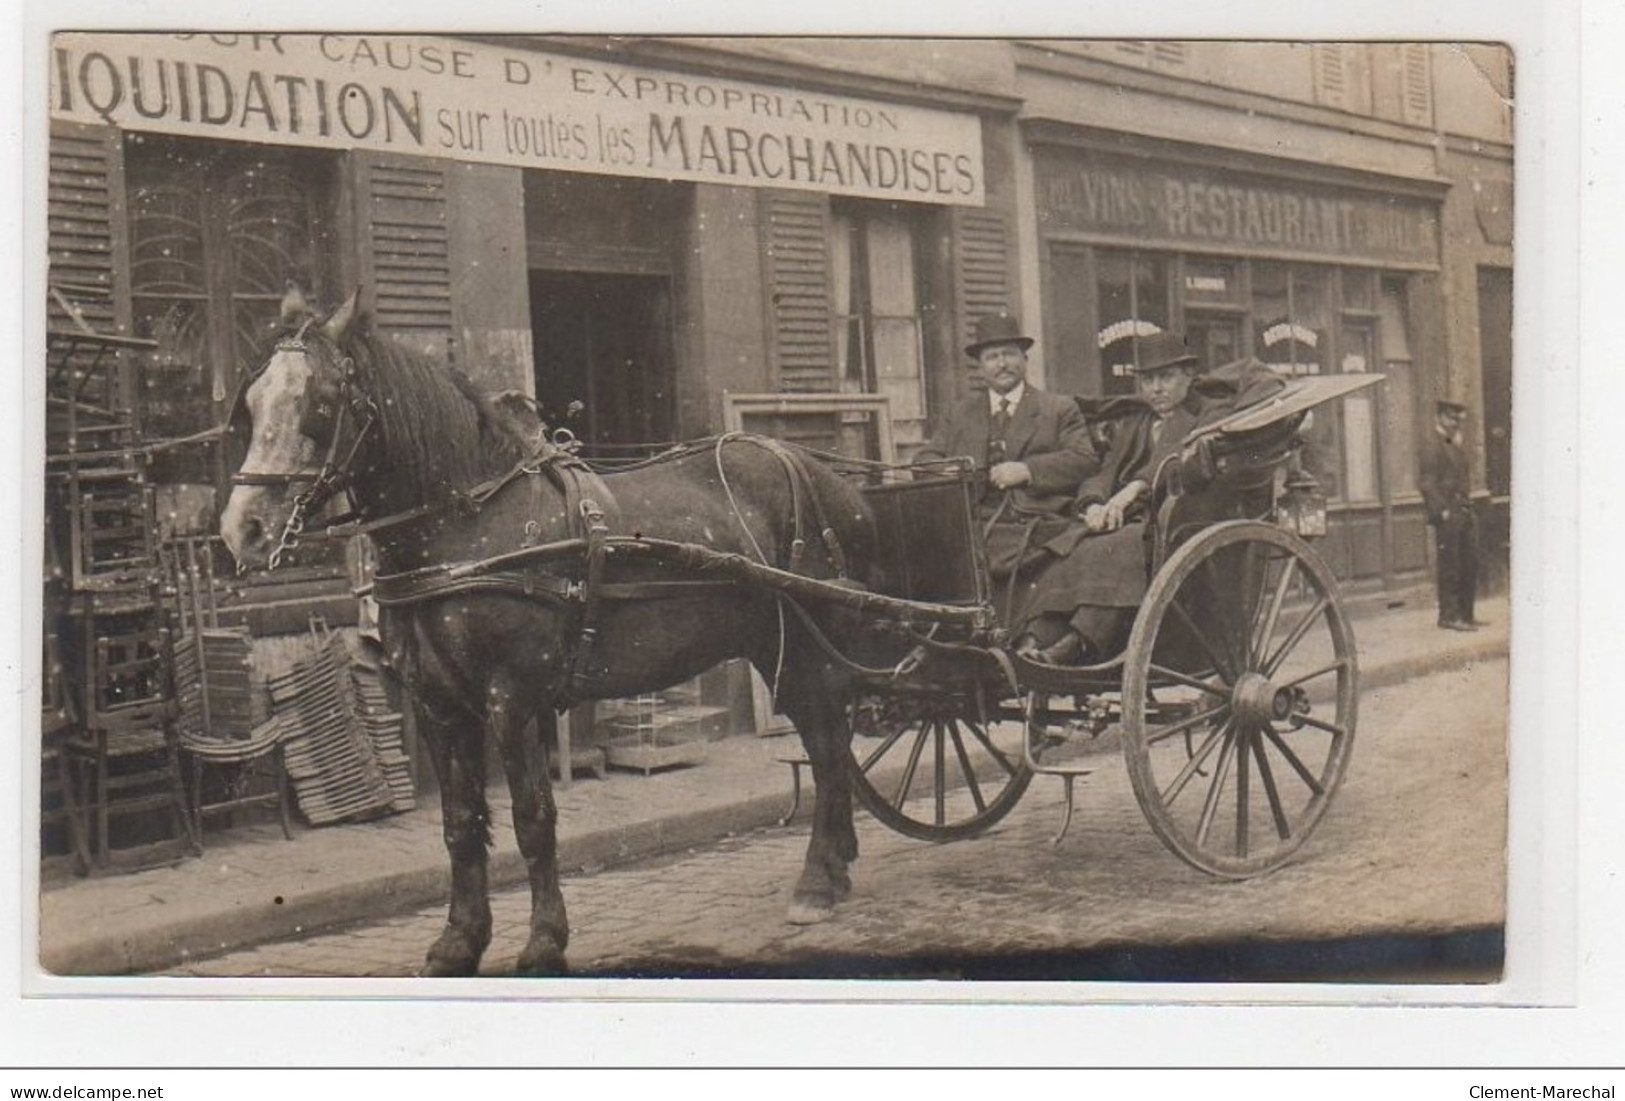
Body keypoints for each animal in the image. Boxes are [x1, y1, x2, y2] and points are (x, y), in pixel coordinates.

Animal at [219, 289, 877, 980]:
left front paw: (543, 942)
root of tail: (831, 478)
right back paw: (835, 866)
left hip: (807, 649)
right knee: (827, 744)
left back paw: (817, 881)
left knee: (827, 743)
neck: (466, 525)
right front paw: (459, 940)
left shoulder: (512, 698)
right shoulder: (438, 703)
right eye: (251, 402)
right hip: (775, 648)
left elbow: (532, 819)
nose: (244, 529)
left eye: (320, 403)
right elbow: (460, 822)